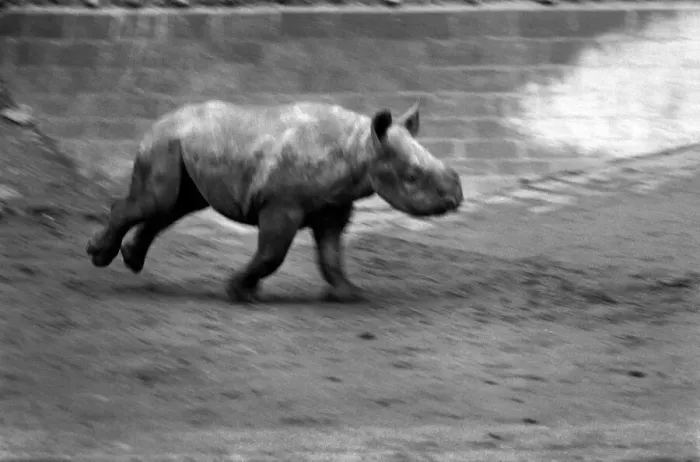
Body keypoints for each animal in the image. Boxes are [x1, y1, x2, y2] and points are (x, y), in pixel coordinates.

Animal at [86, 100, 464, 303]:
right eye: (413, 176)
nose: (457, 197)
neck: (360, 146)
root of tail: (160, 119)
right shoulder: (281, 205)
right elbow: (272, 254)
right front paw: (239, 292)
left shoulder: (332, 207)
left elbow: (331, 255)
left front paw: (348, 294)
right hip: (164, 142)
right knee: (158, 202)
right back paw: (98, 256)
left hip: (184, 143)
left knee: (175, 206)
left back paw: (131, 261)